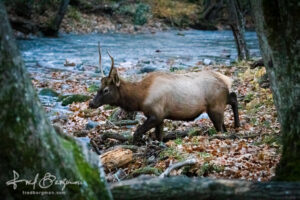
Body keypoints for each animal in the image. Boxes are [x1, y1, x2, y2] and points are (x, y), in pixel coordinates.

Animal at [88, 44, 240, 144]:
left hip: (215, 107)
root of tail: (226, 80)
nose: (91, 103)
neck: (140, 98)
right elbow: (159, 137)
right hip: (219, 104)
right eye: (99, 87)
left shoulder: (156, 114)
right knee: (233, 98)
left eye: (106, 90)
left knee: (221, 128)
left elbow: (137, 132)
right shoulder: (160, 117)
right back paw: (237, 125)